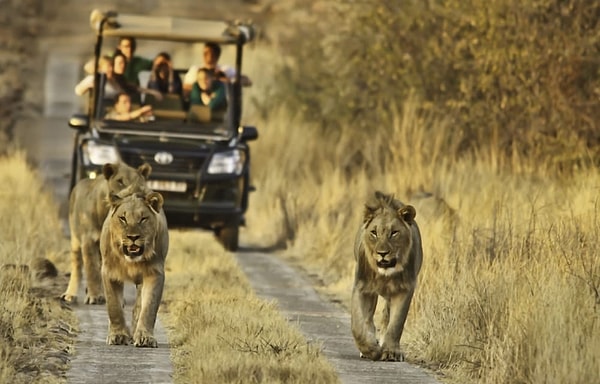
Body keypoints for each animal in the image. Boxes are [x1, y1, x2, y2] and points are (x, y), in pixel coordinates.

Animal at [60, 162, 152, 304]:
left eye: (138, 181)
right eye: (120, 181)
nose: (133, 193)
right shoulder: (88, 240)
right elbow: (91, 269)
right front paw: (94, 296)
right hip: (75, 239)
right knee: (77, 266)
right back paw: (70, 294)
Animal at [99, 190, 168, 346]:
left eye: (143, 219)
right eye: (123, 218)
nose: (133, 237)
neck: (131, 261)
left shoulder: (155, 273)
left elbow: (149, 307)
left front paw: (145, 337)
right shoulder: (109, 272)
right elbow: (114, 307)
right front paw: (118, 335)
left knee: (138, 306)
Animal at [350, 190, 424, 362]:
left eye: (394, 233)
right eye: (374, 233)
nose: (382, 253)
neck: (385, 274)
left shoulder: (405, 289)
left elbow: (396, 324)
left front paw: (391, 352)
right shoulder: (361, 287)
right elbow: (358, 324)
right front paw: (370, 349)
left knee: (386, 316)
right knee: (368, 319)